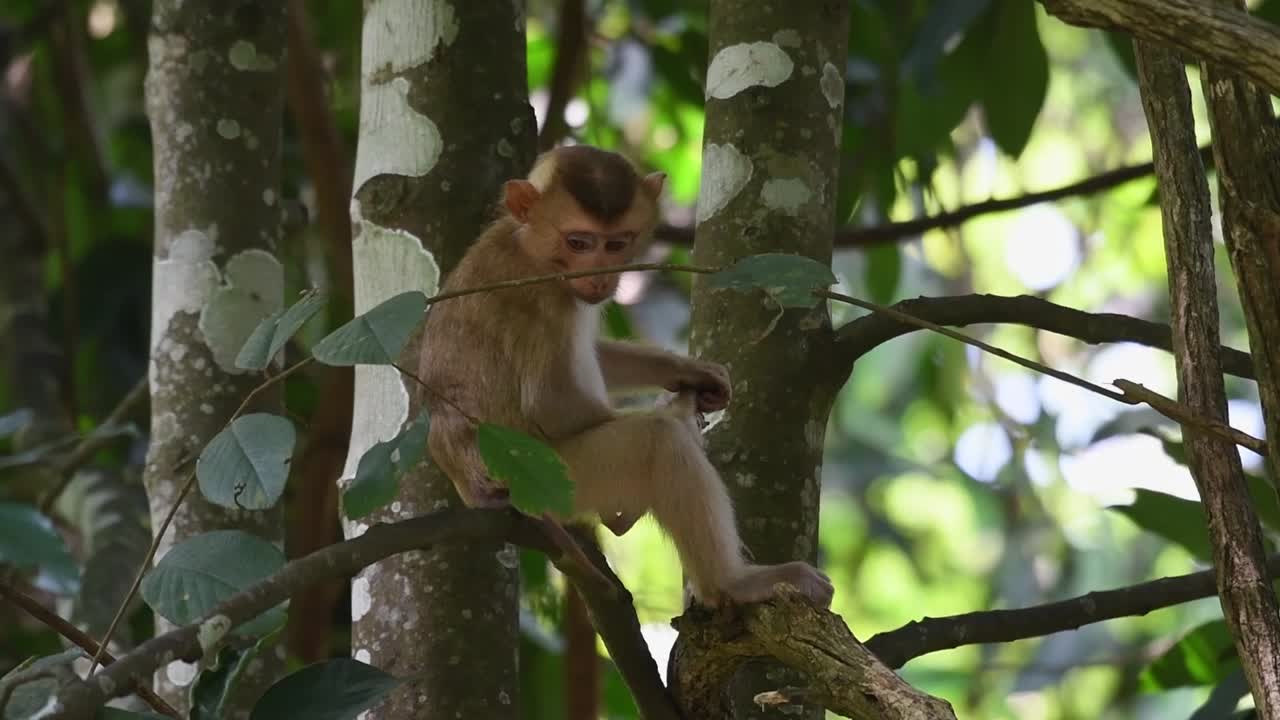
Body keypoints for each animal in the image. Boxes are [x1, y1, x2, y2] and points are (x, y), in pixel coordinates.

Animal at [419, 145, 833, 608]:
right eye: (579, 242)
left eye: (617, 244)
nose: (600, 276)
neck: (528, 246)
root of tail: (469, 484)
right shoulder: (548, 298)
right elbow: (554, 406)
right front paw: (677, 413)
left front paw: (689, 373)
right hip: (553, 476)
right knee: (657, 443)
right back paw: (730, 582)